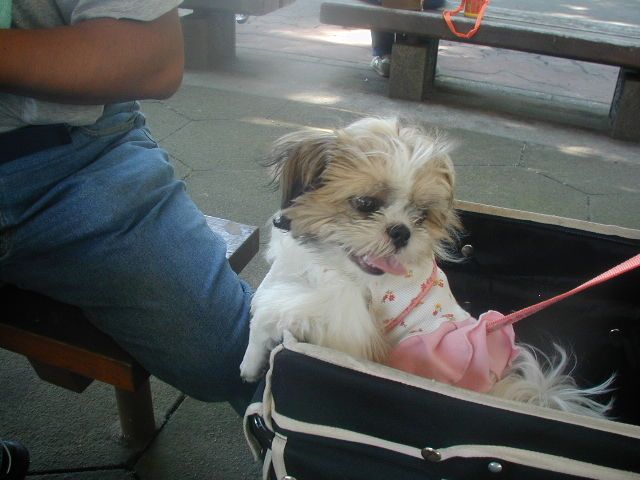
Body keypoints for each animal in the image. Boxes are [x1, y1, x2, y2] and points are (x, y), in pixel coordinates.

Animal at [240, 117, 612, 417]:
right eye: (366, 203)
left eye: (420, 215)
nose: (401, 231)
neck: (333, 264)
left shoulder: (347, 321)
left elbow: (271, 312)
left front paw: (249, 361)